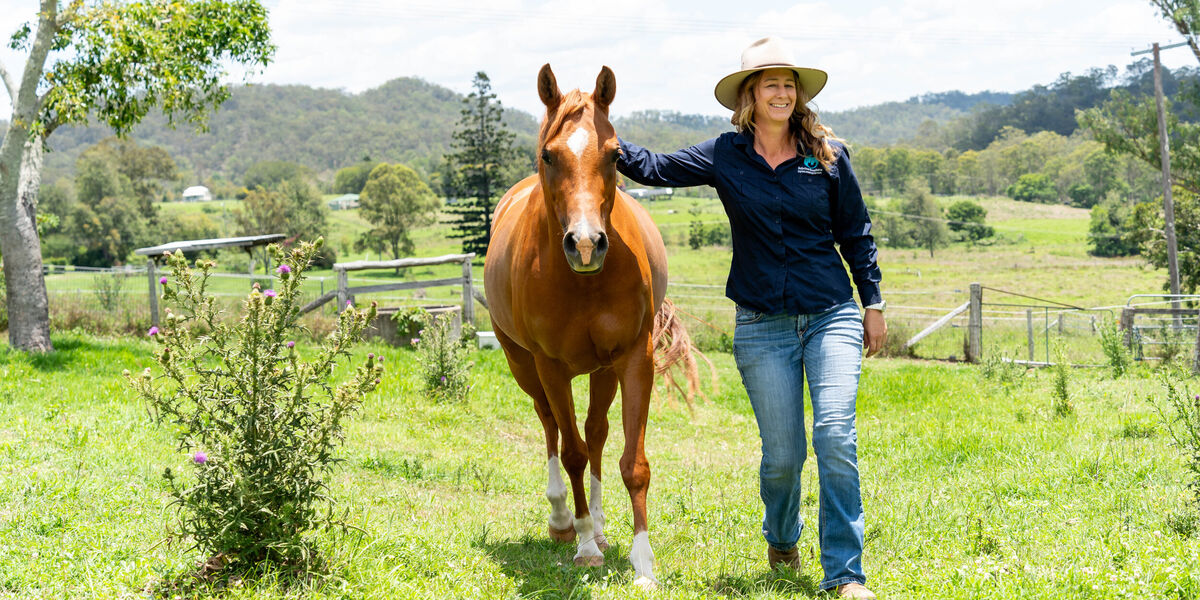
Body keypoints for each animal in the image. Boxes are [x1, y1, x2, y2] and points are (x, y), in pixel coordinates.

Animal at [484, 64, 696, 588]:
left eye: (615, 154)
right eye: (549, 154)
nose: (585, 244)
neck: (583, 282)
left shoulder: (634, 360)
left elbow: (631, 462)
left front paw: (642, 562)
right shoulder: (551, 366)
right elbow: (573, 453)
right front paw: (583, 548)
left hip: (602, 372)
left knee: (595, 431)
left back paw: (597, 526)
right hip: (524, 366)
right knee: (551, 427)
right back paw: (565, 521)